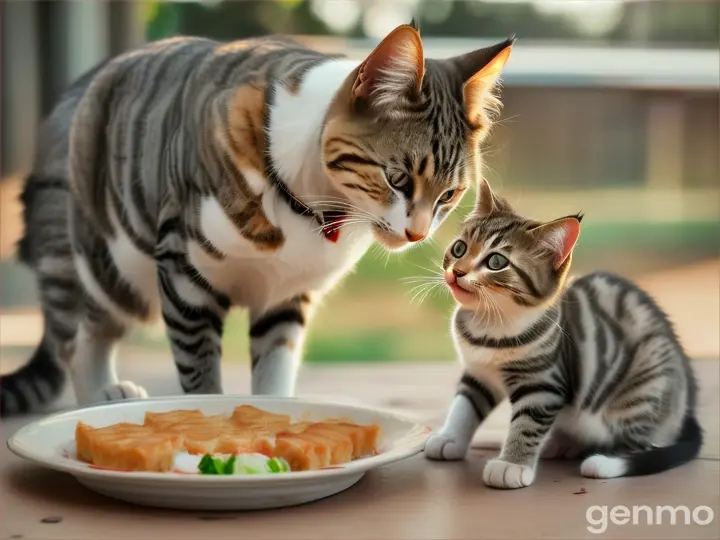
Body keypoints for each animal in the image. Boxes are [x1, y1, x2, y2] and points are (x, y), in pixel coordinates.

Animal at [1, 23, 516, 416]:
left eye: (449, 194)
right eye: (398, 179)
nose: (417, 233)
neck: (314, 207)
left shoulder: (287, 296)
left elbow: (273, 372)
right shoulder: (184, 272)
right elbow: (199, 372)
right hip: (100, 262)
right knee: (78, 335)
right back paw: (97, 396)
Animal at [424, 181, 700, 490]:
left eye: (496, 261)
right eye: (459, 248)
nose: (456, 272)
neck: (490, 324)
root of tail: (685, 410)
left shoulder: (543, 381)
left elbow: (527, 423)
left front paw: (512, 464)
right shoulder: (478, 372)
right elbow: (464, 405)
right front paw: (449, 438)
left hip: (643, 389)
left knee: (641, 445)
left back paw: (603, 462)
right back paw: (560, 444)